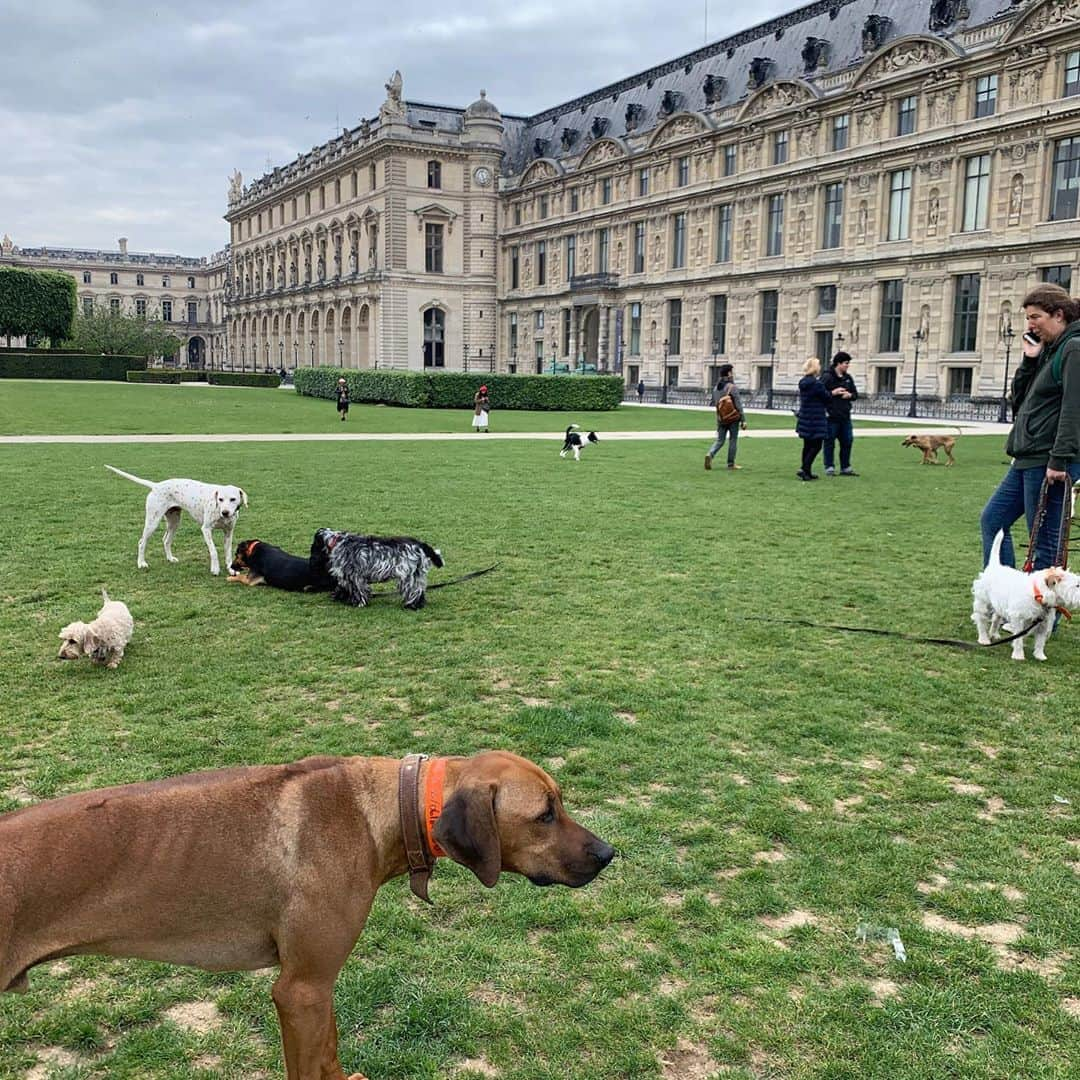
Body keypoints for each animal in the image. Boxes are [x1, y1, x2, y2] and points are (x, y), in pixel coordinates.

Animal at [0, 751, 613, 1080]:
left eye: (560, 802)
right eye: (545, 814)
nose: (609, 853)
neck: (382, 809)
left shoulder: (318, 991)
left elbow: (330, 1052)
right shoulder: (299, 989)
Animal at [106, 468, 247, 578]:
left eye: (233, 499)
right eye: (220, 499)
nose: (225, 512)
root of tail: (156, 485)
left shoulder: (228, 532)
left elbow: (228, 553)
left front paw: (231, 569)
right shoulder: (206, 529)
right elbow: (214, 551)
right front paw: (215, 569)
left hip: (174, 522)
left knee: (166, 540)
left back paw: (170, 558)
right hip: (153, 522)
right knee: (142, 542)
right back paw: (141, 563)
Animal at [311, 529, 444, 613]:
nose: (312, 559)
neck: (338, 541)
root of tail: (420, 544)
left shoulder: (353, 575)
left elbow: (357, 590)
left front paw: (357, 603)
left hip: (408, 577)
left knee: (413, 592)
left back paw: (412, 605)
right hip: (416, 575)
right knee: (420, 591)